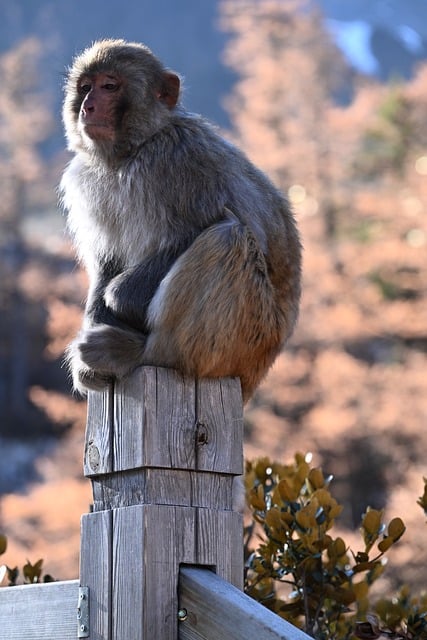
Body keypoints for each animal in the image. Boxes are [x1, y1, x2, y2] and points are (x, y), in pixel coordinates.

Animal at [60, 39, 301, 403]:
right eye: (86, 87)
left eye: (110, 87)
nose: (88, 107)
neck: (132, 152)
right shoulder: (88, 181)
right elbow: (108, 260)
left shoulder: (183, 159)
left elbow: (244, 229)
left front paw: (120, 296)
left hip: (251, 338)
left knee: (228, 239)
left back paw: (147, 353)